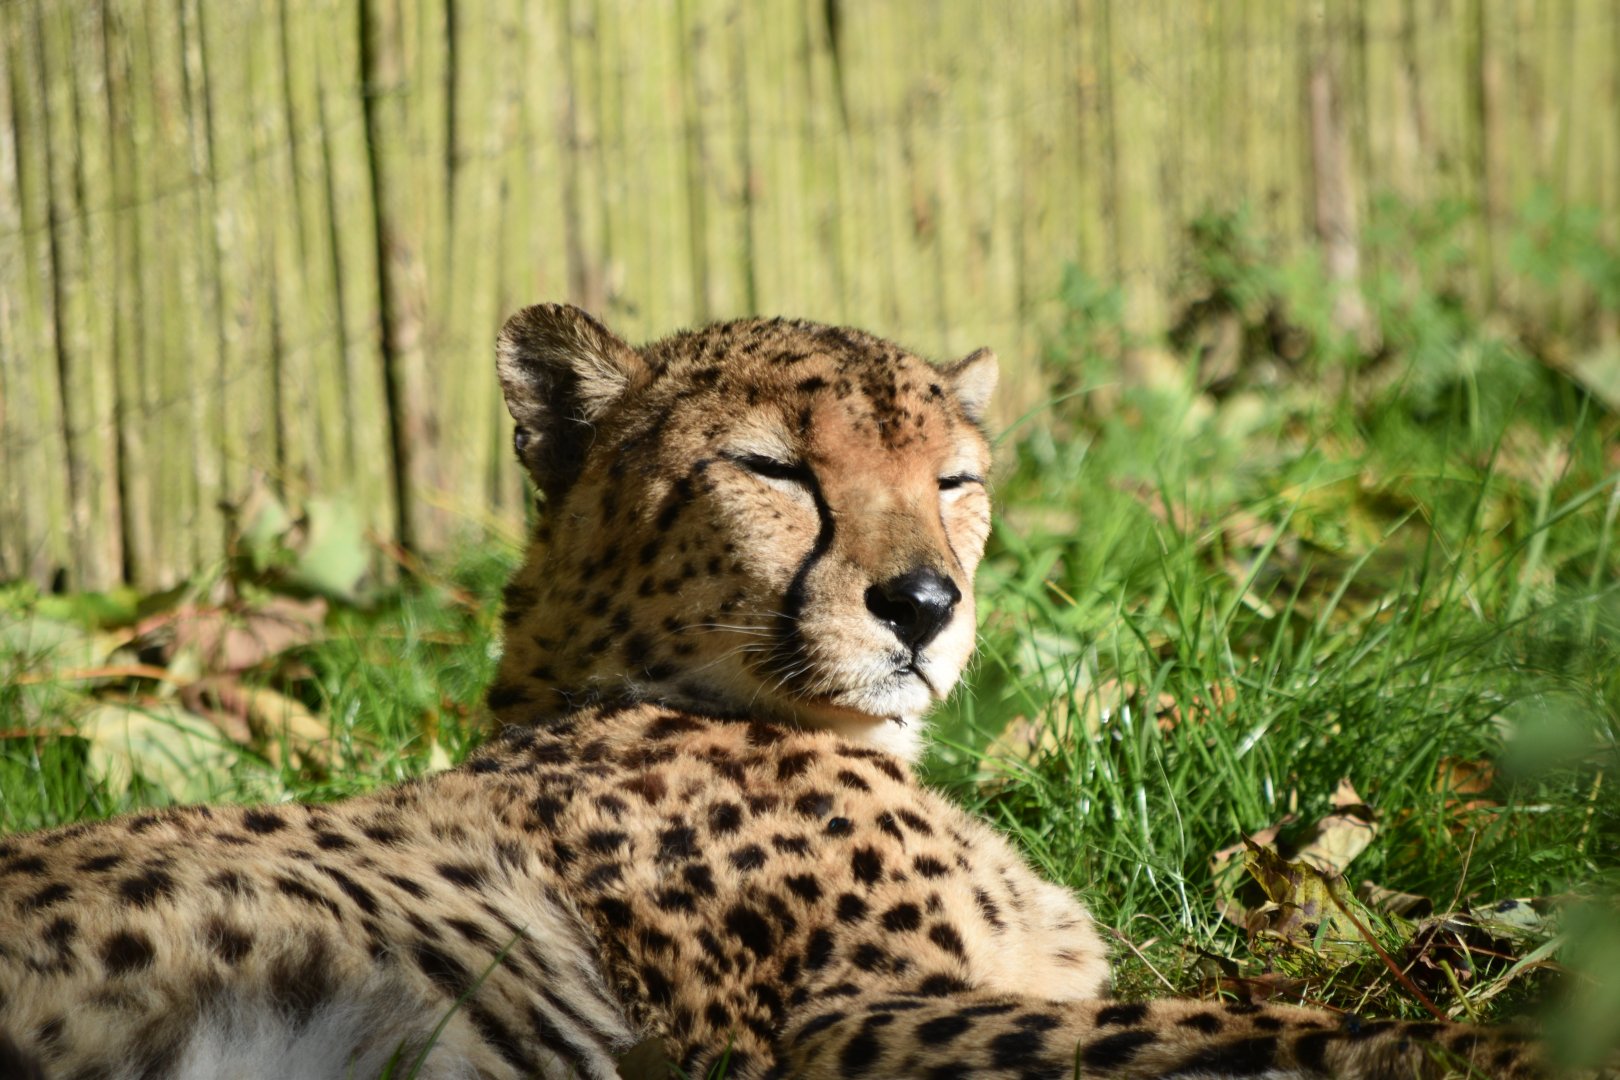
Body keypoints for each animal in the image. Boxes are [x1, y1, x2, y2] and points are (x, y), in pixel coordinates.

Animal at [0, 304, 1576, 1079]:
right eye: (772, 470)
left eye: (956, 480)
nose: (925, 603)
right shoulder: (836, 1024)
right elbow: (1257, 1030)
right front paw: (1494, 1039)